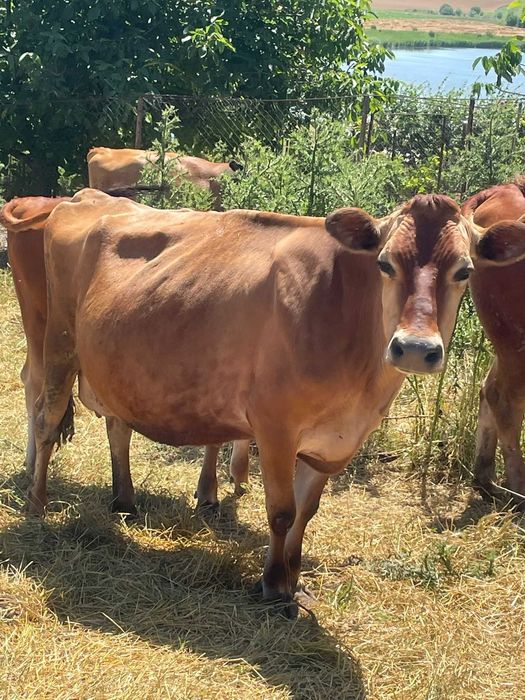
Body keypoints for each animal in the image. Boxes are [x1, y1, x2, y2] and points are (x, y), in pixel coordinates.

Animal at [27, 189, 483, 616]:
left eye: (465, 270)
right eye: (385, 264)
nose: (414, 349)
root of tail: (85, 197)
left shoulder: (332, 443)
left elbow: (307, 510)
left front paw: (295, 577)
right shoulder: (275, 427)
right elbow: (282, 511)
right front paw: (274, 583)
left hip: (113, 363)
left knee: (118, 426)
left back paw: (124, 502)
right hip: (59, 342)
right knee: (47, 420)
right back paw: (37, 505)